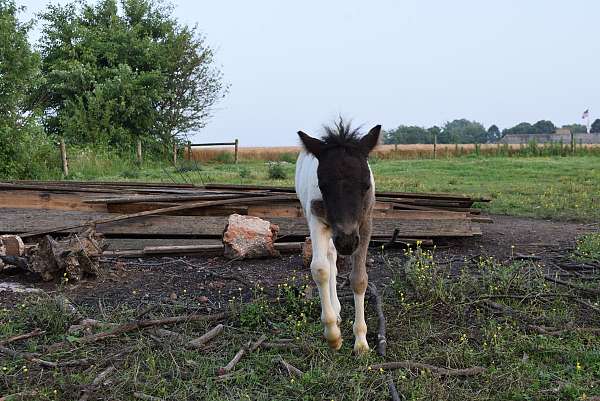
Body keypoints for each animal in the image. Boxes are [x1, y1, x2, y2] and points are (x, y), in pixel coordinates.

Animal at [294, 119, 380, 354]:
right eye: (322, 185)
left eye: (366, 185)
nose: (347, 242)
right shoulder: (316, 219)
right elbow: (320, 269)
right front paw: (333, 335)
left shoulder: (365, 223)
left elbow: (359, 279)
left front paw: (361, 342)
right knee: (330, 259)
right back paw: (335, 310)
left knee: (334, 256)